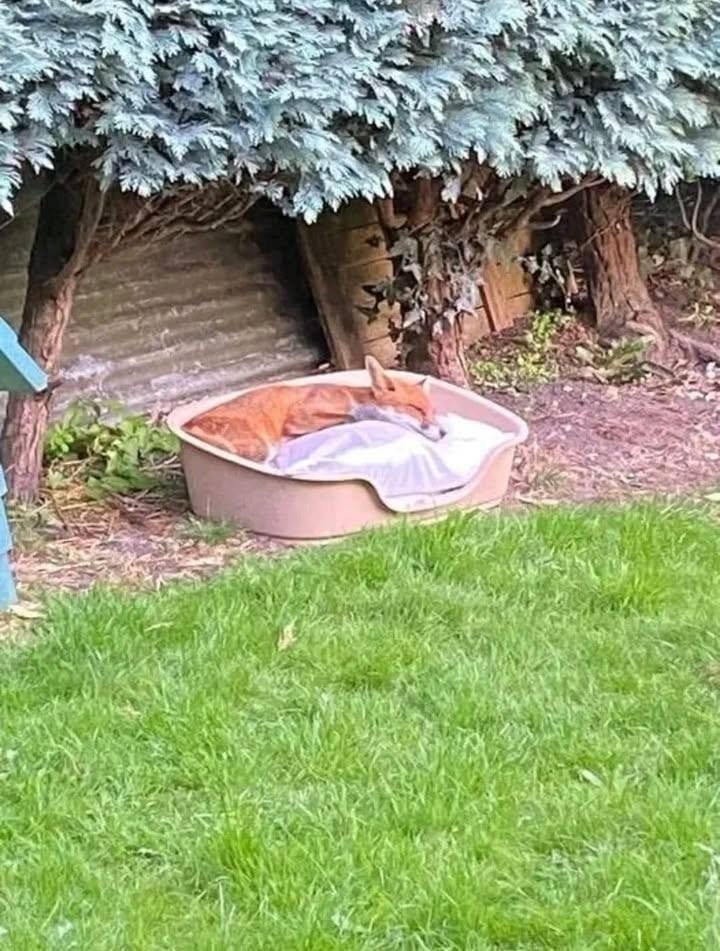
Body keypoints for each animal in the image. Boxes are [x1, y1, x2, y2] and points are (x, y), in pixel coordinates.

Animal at [183, 356, 444, 463]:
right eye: (416, 409)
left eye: (432, 411)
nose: (444, 433)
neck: (351, 396)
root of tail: (187, 427)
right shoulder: (300, 415)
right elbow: (352, 418)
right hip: (261, 447)